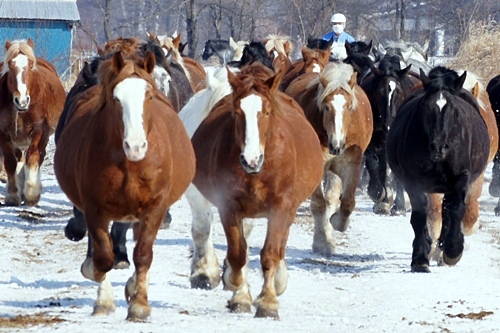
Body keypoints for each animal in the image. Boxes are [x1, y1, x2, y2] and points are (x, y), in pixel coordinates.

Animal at [0, 38, 65, 205]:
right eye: (10, 64)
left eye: (30, 65)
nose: (22, 101)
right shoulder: (3, 135)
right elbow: (10, 162)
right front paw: (13, 195)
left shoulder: (39, 131)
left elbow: (33, 156)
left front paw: (31, 193)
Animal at [54, 51, 195, 320]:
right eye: (116, 98)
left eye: (148, 96)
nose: (135, 146)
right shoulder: (95, 208)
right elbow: (102, 256)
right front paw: (103, 301)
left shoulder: (154, 207)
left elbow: (143, 254)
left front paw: (139, 304)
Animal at [188, 63, 324, 320]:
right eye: (236, 112)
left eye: (267, 112)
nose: (251, 159)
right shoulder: (229, 206)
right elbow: (238, 254)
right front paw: (236, 288)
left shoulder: (281, 207)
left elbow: (270, 253)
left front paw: (268, 302)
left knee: (279, 246)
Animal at [288, 61, 374, 254]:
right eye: (326, 107)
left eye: (349, 107)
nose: (337, 145)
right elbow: (319, 204)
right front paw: (323, 242)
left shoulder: (351, 165)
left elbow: (347, 202)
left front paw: (337, 222)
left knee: (333, 198)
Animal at [386, 66, 492, 272]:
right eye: (427, 107)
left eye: (454, 109)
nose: (438, 147)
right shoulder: (414, 181)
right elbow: (420, 215)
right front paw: (420, 258)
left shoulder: (460, 178)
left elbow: (455, 210)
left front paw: (452, 251)